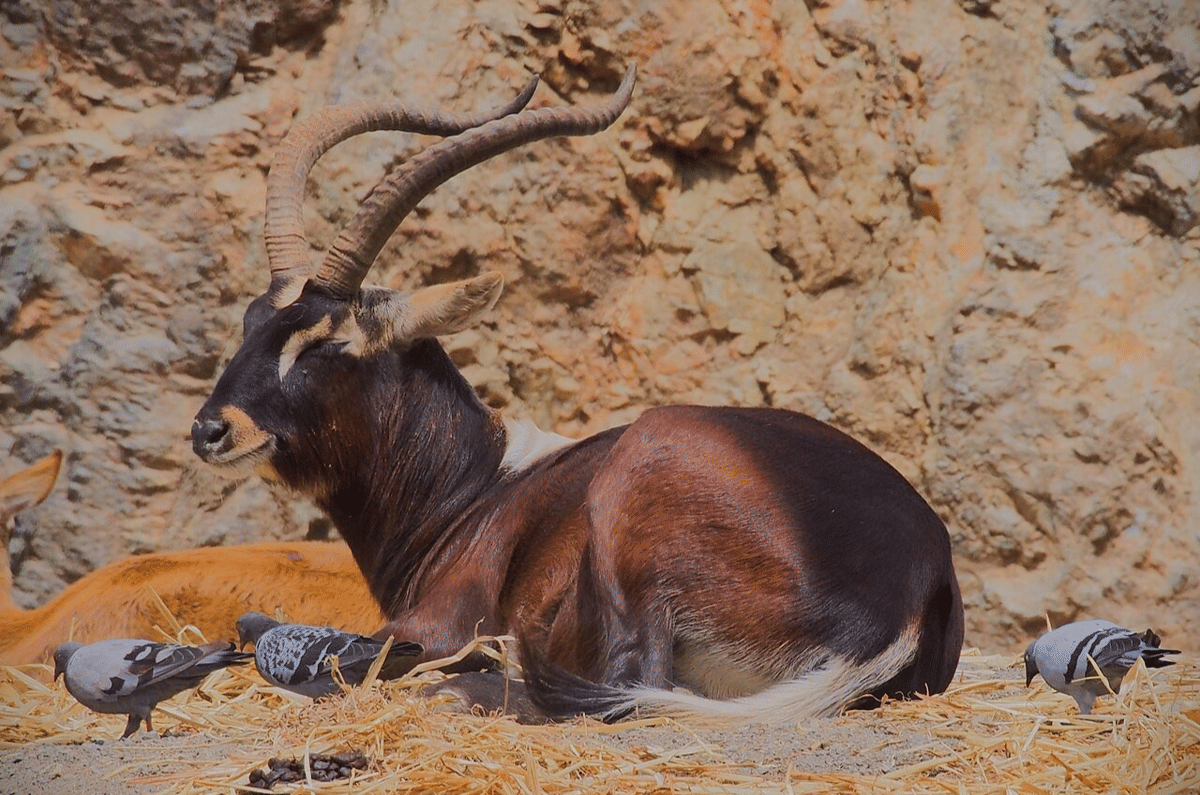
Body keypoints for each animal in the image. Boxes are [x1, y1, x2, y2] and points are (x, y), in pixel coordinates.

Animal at [191, 65, 964, 723]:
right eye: (254, 321)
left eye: (327, 342)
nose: (209, 430)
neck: (478, 487)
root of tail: (912, 585)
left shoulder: (431, 624)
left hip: (643, 472)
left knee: (626, 677)